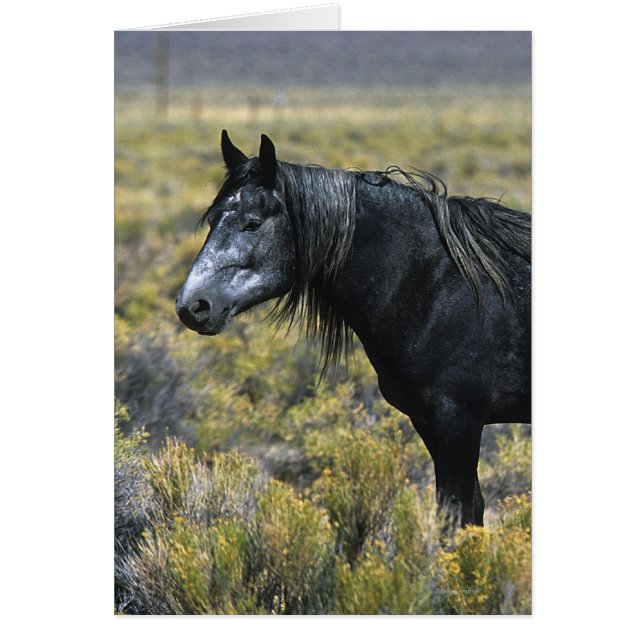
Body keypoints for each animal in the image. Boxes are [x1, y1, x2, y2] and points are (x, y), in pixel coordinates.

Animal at [176, 130, 531, 528]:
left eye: (252, 223)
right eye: (212, 220)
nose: (193, 306)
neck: (439, 284)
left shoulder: (459, 421)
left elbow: (456, 515)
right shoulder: (429, 421)